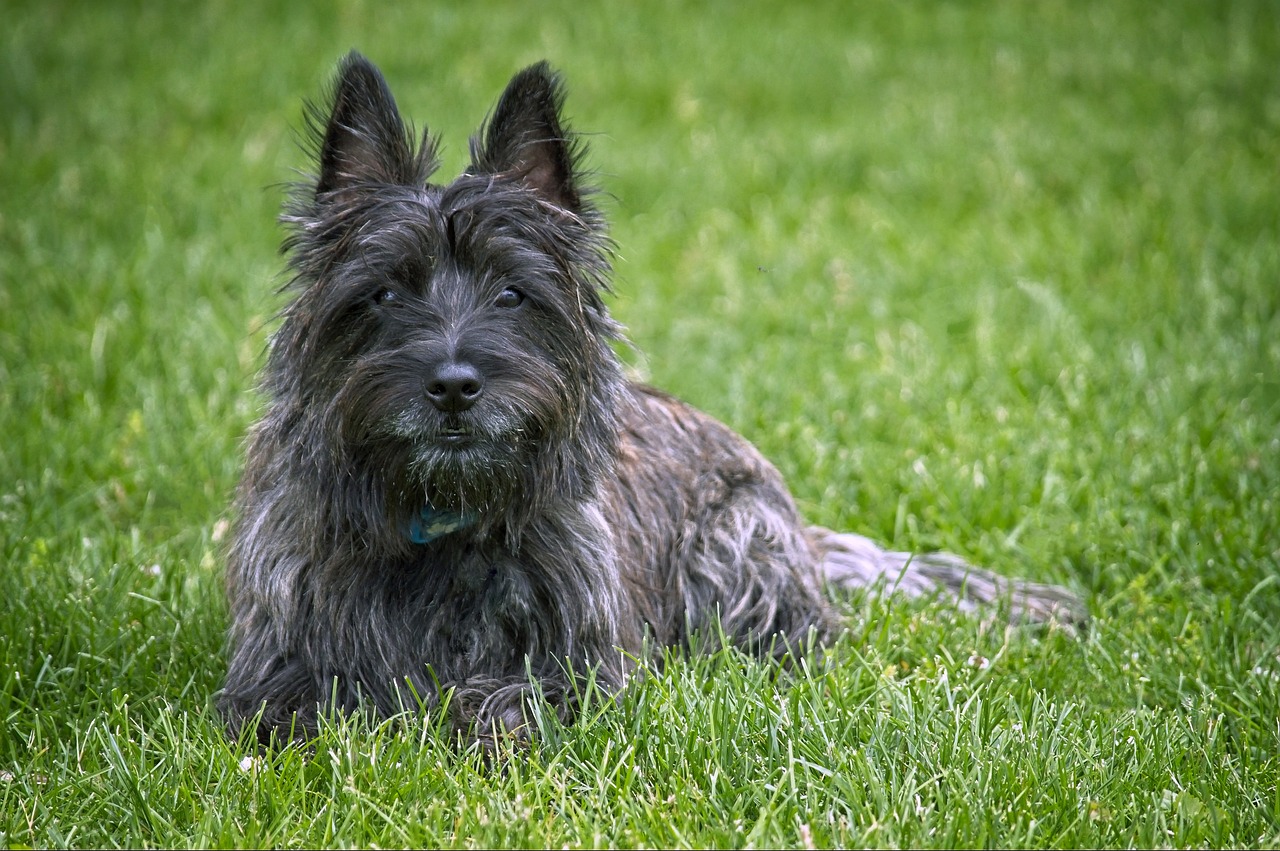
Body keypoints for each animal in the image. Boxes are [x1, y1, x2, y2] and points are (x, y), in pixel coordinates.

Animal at [217, 53, 1080, 742]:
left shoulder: (587, 664)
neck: (444, 513)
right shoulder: (277, 652)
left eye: (511, 292)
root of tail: (805, 531)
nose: (455, 385)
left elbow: (506, 700)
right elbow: (288, 708)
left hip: (737, 547)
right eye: (386, 292)